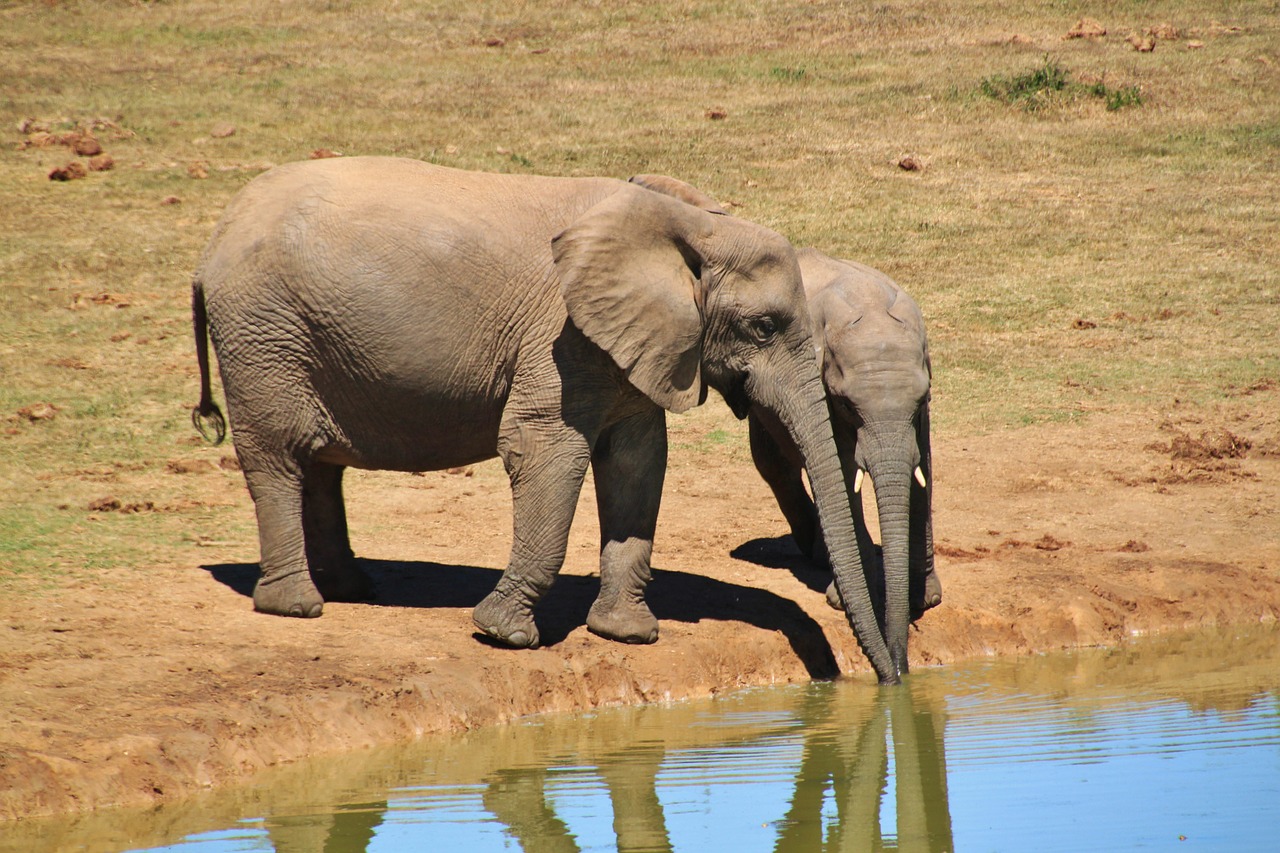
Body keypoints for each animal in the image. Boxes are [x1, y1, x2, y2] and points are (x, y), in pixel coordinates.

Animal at [194, 156, 906, 681]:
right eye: (763, 327)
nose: (892, 677)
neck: (685, 224)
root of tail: (215, 239)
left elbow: (639, 460)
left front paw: (627, 635)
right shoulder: (558, 337)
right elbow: (545, 450)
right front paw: (503, 635)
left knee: (320, 464)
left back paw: (352, 589)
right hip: (263, 334)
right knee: (279, 457)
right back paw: (298, 608)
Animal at [747, 249, 942, 676]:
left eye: (920, 399)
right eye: (849, 405)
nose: (899, 670)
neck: (869, 305)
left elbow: (924, 466)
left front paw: (925, 598)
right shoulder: (820, 386)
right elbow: (841, 465)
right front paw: (847, 597)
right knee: (774, 461)